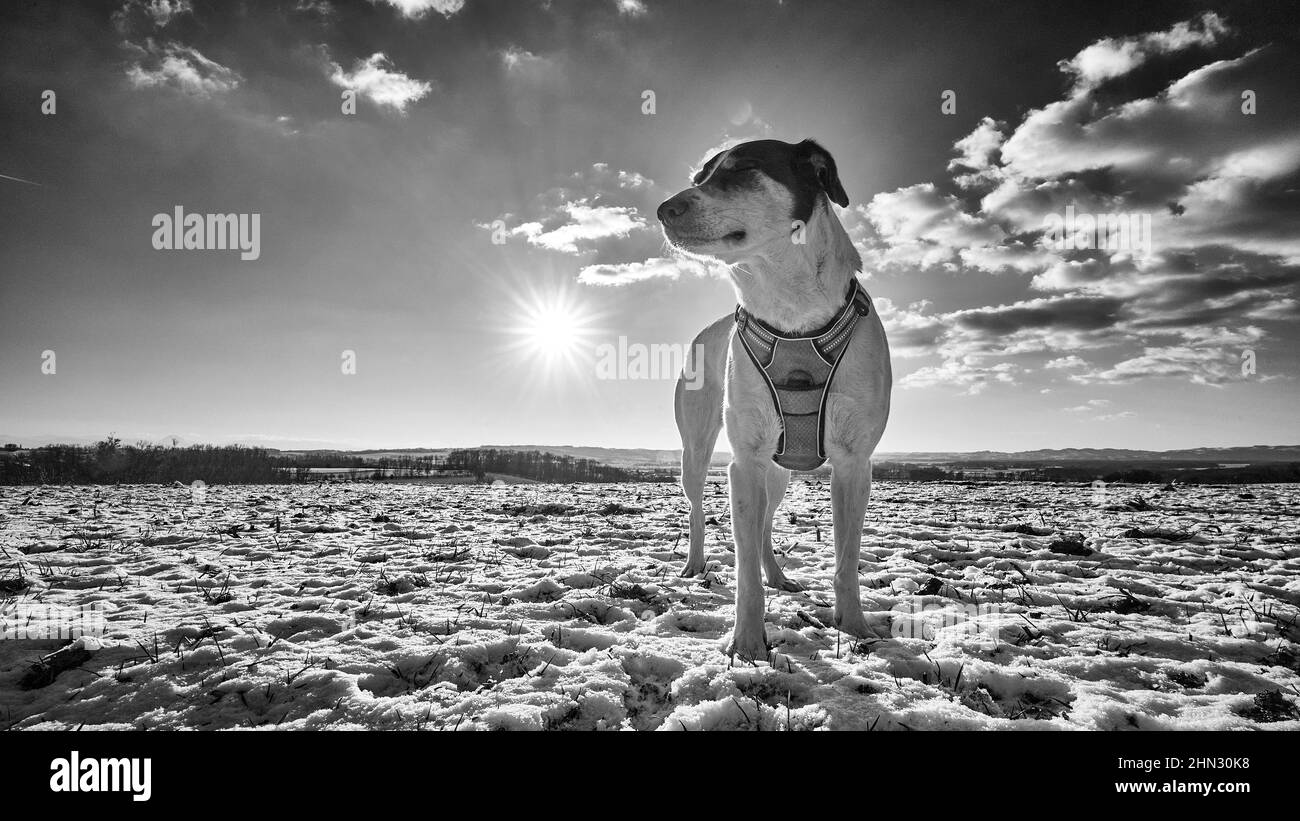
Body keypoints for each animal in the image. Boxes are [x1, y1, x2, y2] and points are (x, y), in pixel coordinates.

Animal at [660, 136, 894, 659]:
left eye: (743, 167)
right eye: (699, 175)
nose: (664, 209)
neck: (792, 311)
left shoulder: (854, 462)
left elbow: (846, 558)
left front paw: (855, 627)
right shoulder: (744, 461)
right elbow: (744, 570)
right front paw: (747, 642)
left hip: (782, 468)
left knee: (767, 523)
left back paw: (779, 575)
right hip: (697, 450)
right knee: (699, 509)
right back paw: (695, 565)